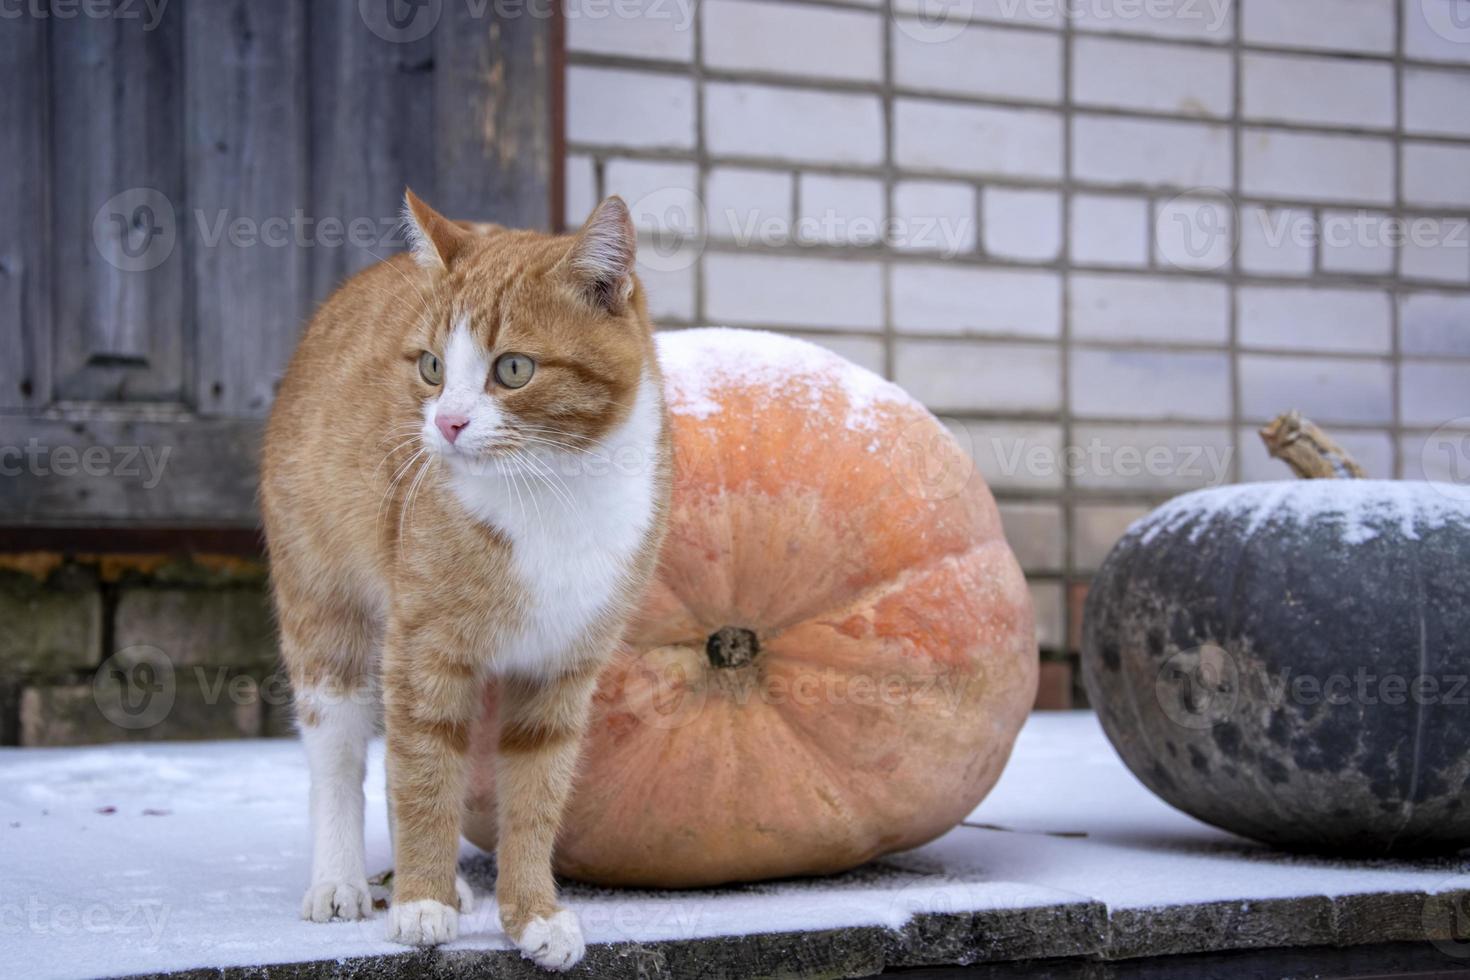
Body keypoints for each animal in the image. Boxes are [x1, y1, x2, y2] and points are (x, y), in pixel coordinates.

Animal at [260, 193, 673, 975]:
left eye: (513, 368)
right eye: (430, 367)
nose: (447, 423)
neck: (553, 494)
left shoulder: (560, 673)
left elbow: (534, 798)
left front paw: (532, 914)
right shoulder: (425, 648)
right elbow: (422, 774)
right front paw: (421, 904)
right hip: (329, 610)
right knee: (343, 754)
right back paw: (344, 881)